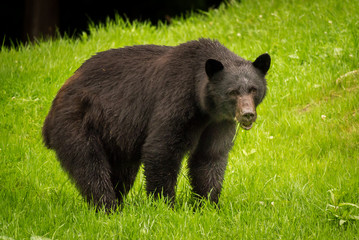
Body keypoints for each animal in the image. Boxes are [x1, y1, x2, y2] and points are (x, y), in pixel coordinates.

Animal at [42, 39, 270, 210]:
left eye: (253, 89)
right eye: (232, 92)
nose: (247, 115)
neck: (204, 105)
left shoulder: (218, 122)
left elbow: (210, 157)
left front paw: (207, 204)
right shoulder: (176, 100)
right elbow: (162, 148)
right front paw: (166, 205)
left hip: (115, 136)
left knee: (122, 172)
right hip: (77, 122)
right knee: (90, 166)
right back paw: (108, 207)